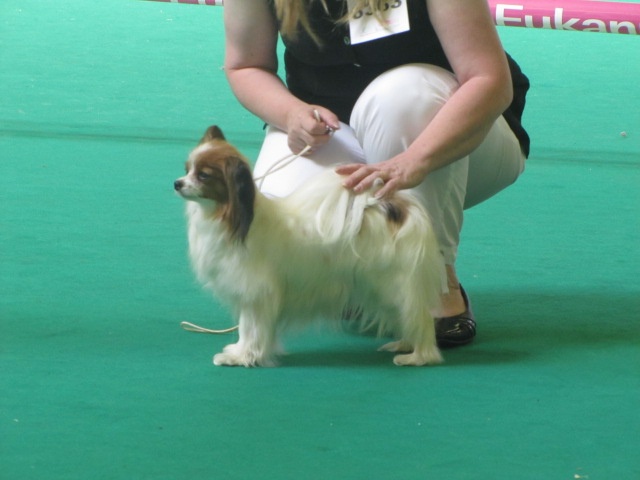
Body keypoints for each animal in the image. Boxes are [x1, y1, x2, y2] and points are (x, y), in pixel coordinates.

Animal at [174, 126, 445, 367]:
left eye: (203, 175)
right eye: (187, 169)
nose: (177, 183)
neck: (235, 219)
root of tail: (399, 209)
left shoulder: (257, 293)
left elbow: (251, 329)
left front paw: (243, 358)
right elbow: (246, 329)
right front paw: (240, 351)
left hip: (396, 285)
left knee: (420, 319)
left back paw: (418, 356)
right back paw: (404, 344)